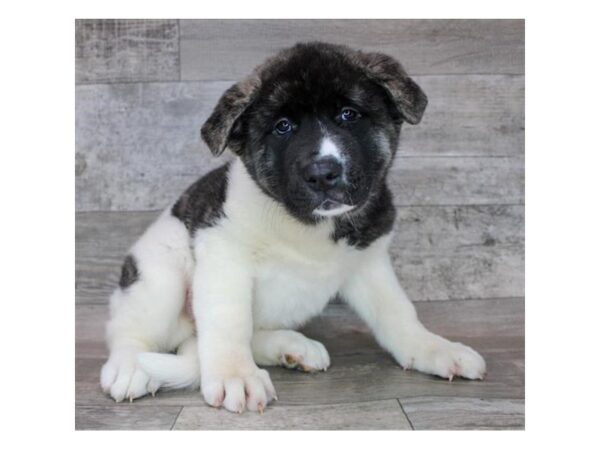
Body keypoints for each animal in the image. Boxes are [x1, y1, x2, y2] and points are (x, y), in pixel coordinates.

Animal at [101, 43, 488, 414]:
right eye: (283, 126)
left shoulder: (369, 263)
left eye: (348, 114)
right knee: (130, 331)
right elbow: (228, 322)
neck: (305, 223)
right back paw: (130, 366)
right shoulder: (224, 256)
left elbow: (398, 313)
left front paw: (433, 348)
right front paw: (234, 375)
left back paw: (291, 348)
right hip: (159, 275)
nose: (322, 172)